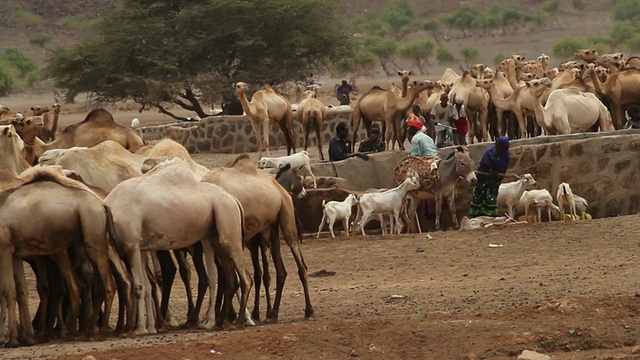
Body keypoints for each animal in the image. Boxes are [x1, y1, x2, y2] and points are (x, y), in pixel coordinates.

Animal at [0, 167, 122, 348]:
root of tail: (102, 204)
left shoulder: (5, 248)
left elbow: (8, 290)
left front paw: (12, 339)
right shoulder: (16, 253)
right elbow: (20, 290)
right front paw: (26, 337)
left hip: (93, 235)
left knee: (108, 285)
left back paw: (99, 333)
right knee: (93, 286)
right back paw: (84, 333)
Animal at [104, 159, 250, 334]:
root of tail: (234, 200)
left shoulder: (131, 244)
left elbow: (138, 286)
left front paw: (139, 329)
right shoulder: (139, 248)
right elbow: (146, 284)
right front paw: (150, 328)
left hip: (227, 219)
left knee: (244, 278)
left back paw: (238, 321)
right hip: (213, 234)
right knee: (224, 277)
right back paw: (212, 323)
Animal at [204, 153, 314, 322]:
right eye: (299, 177)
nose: (304, 192)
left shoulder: (256, 241)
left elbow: (261, 274)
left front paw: (247, 313)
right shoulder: (256, 240)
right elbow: (259, 274)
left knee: (299, 266)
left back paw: (306, 310)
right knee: (284, 270)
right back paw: (276, 312)